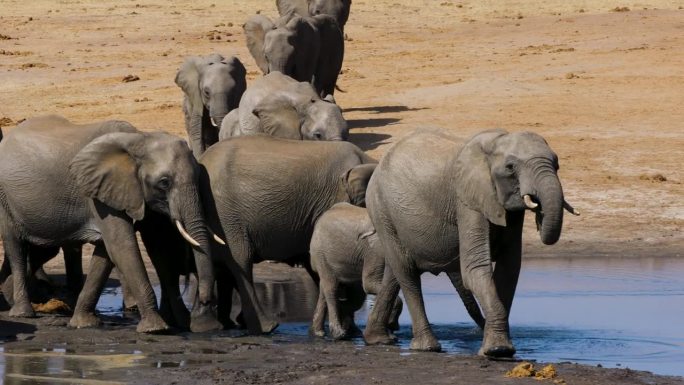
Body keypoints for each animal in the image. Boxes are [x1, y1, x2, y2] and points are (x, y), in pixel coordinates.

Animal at [200, 135, 376, 332]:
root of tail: (202, 159)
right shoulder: (336, 199)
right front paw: (345, 327)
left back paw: (230, 324)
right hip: (226, 215)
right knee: (240, 260)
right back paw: (266, 327)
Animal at [310, 202, 400, 338]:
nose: (397, 328)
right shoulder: (375, 249)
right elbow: (369, 283)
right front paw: (391, 327)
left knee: (348, 294)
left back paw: (319, 332)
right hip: (321, 253)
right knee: (331, 288)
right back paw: (339, 334)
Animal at [364, 129, 576, 356]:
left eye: (557, 164)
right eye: (510, 167)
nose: (539, 214)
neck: (495, 141)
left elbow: (509, 270)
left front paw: (496, 349)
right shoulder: (467, 200)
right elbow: (474, 268)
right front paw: (497, 350)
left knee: (394, 272)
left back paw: (378, 340)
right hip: (381, 209)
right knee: (407, 273)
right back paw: (427, 347)